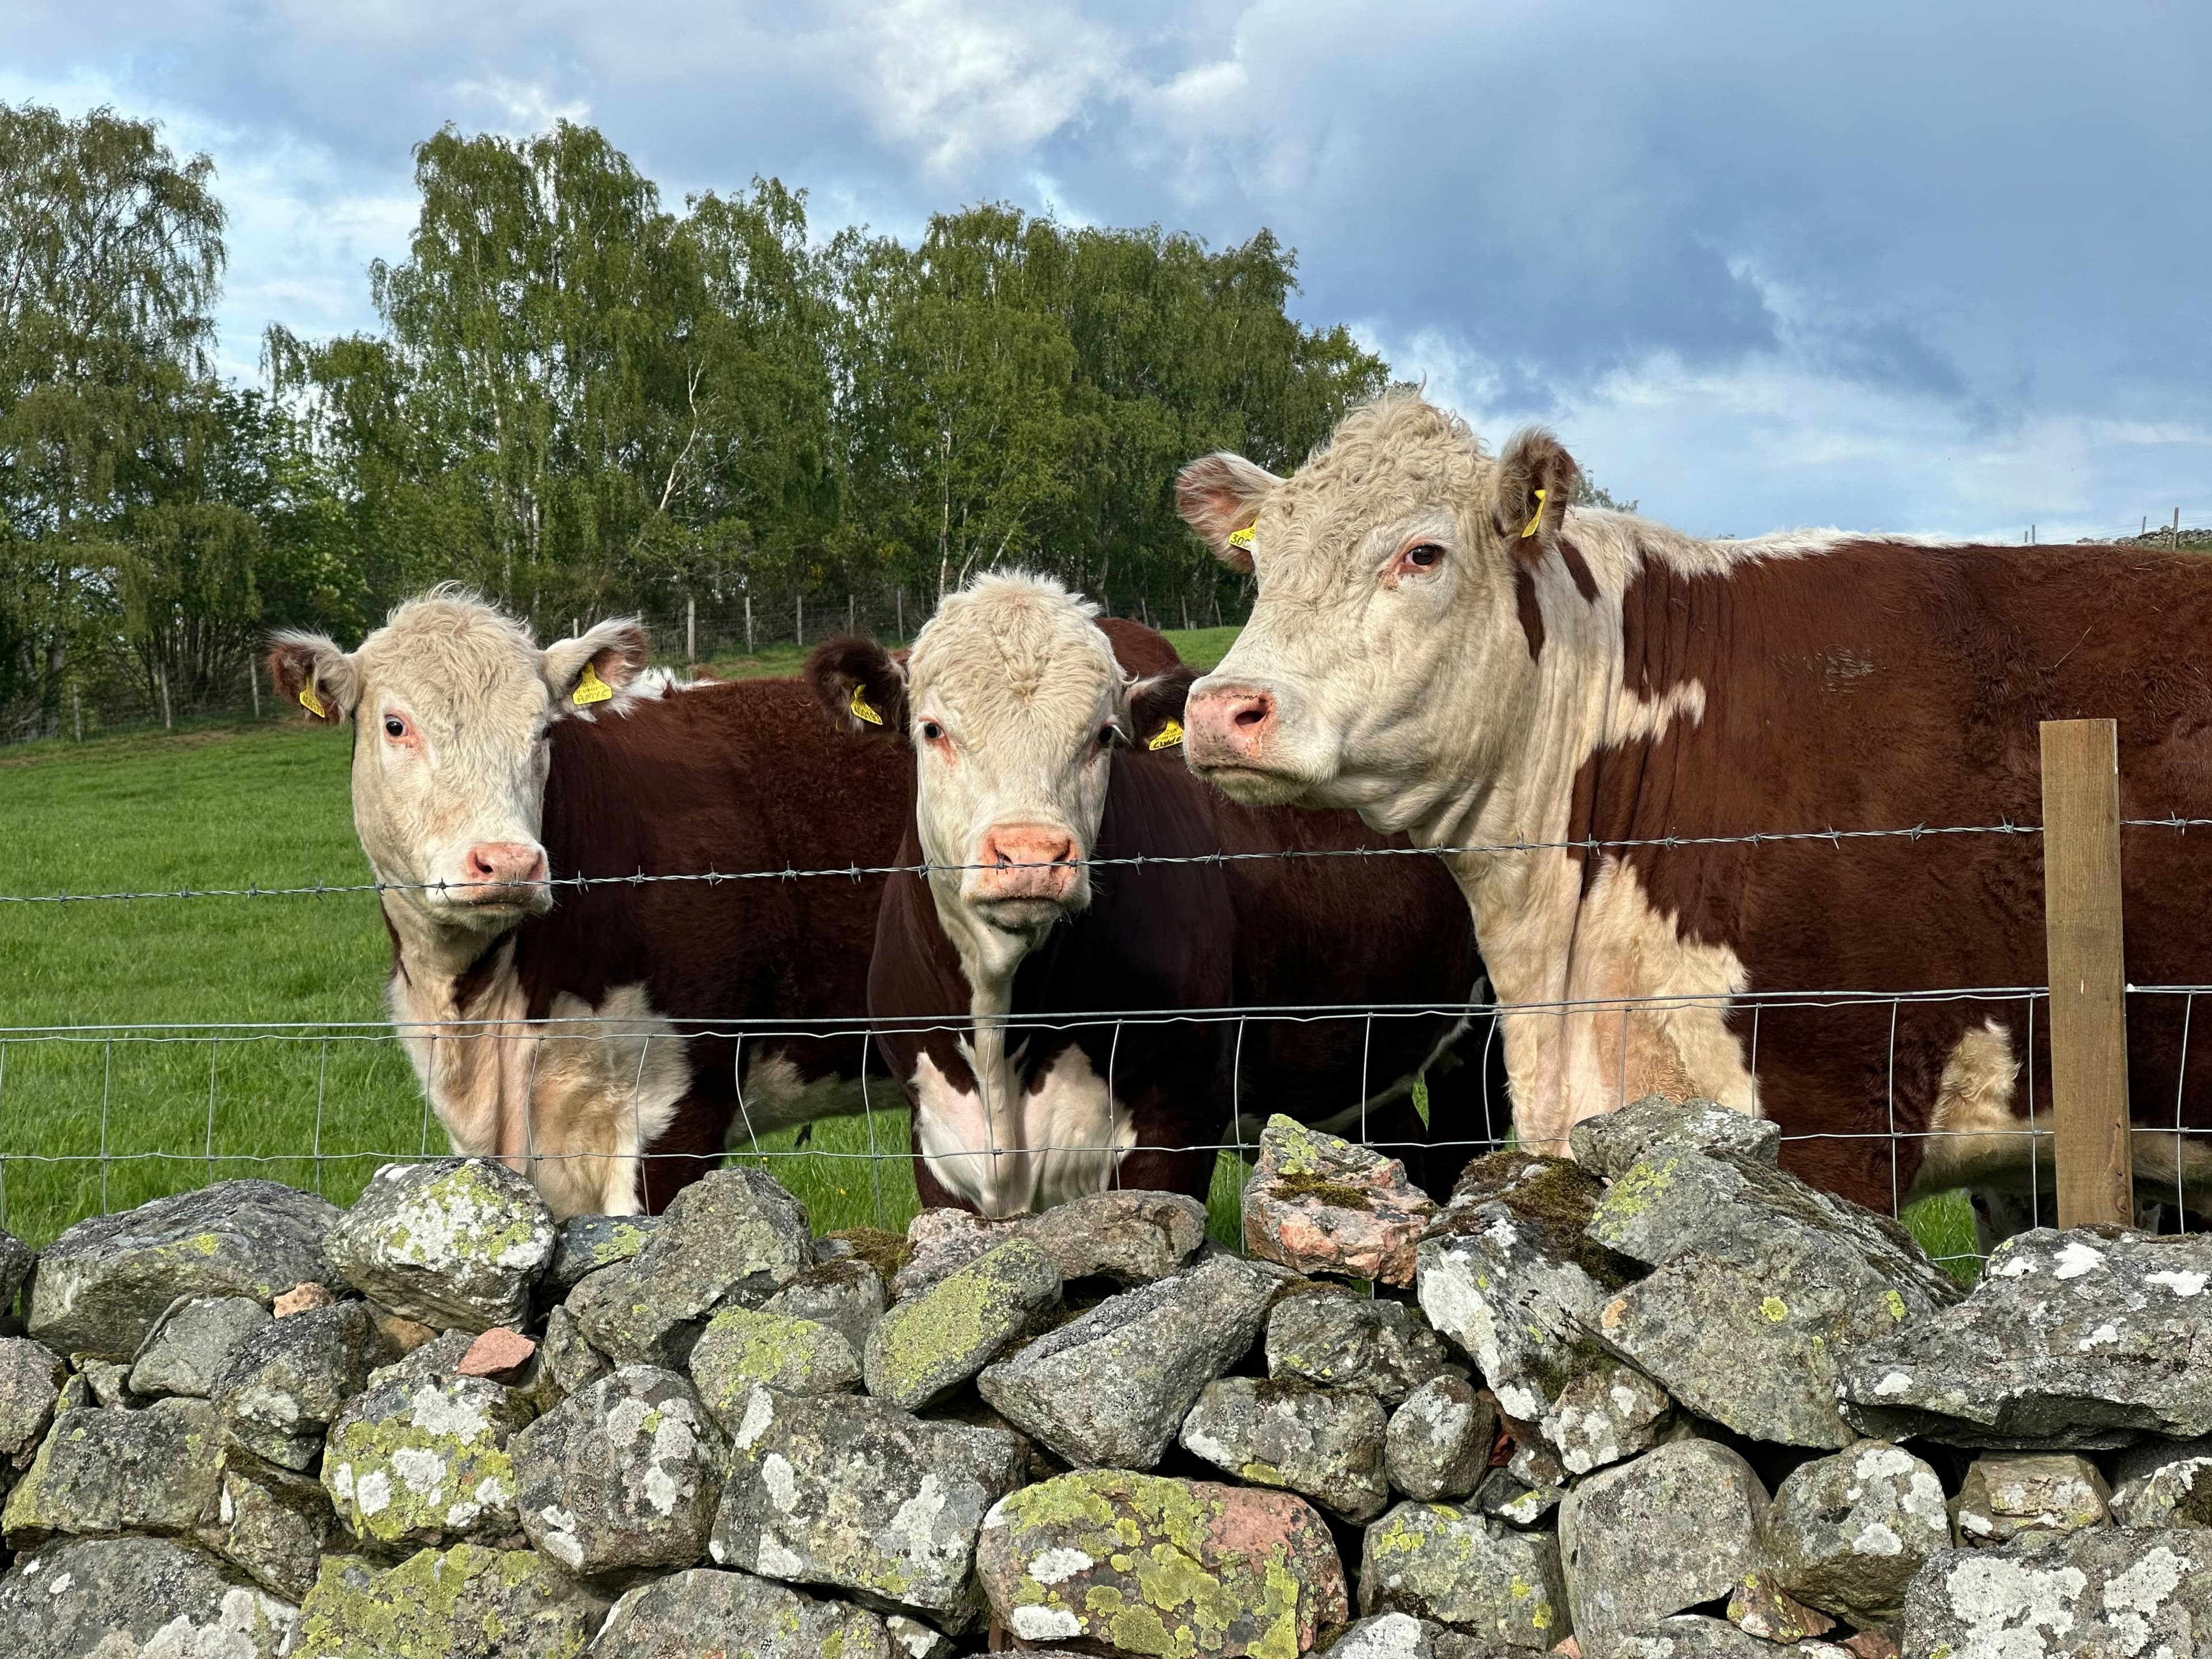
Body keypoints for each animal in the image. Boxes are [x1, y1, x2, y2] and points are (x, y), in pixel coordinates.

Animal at [808, 571, 1504, 1219]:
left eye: (1104, 736)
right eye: (933, 730)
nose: (1031, 856)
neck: (1000, 1030)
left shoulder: (1175, 1124)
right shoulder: (938, 1143)